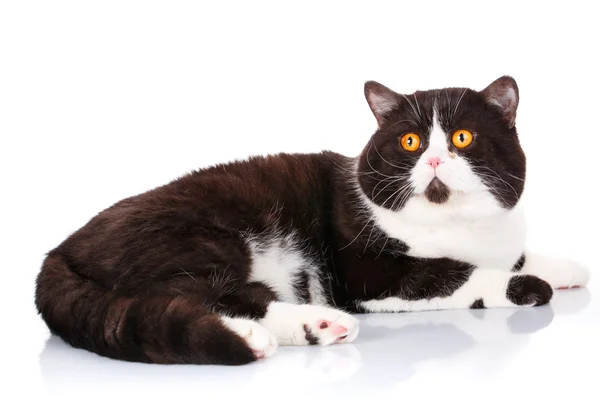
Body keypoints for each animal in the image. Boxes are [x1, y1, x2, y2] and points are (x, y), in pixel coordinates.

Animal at [35, 76, 588, 366]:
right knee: (195, 294)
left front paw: (570, 269)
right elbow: (454, 275)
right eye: (410, 142)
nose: (432, 159)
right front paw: (528, 285)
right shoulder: (370, 275)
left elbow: (517, 254)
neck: (460, 224)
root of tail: (59, 251)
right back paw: (292, 327)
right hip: (195, 237)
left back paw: (313, 328)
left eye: (462, 138)